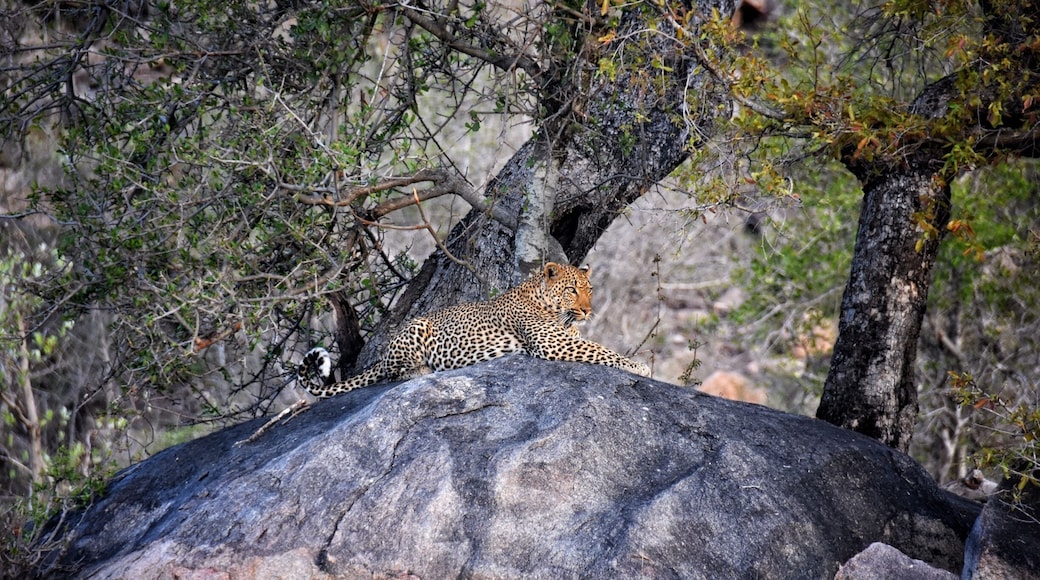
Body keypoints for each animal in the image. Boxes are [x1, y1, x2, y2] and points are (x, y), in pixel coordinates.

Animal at [297, 262, 651, 397]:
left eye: (589, 289)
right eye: (572, 290)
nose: (589, 311)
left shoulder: (566, 338)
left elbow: (597, 346)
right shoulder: (553, 344)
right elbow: (602, 351)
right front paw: (639, 366)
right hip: (417, 328)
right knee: (389, 374)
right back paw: (421, 371)